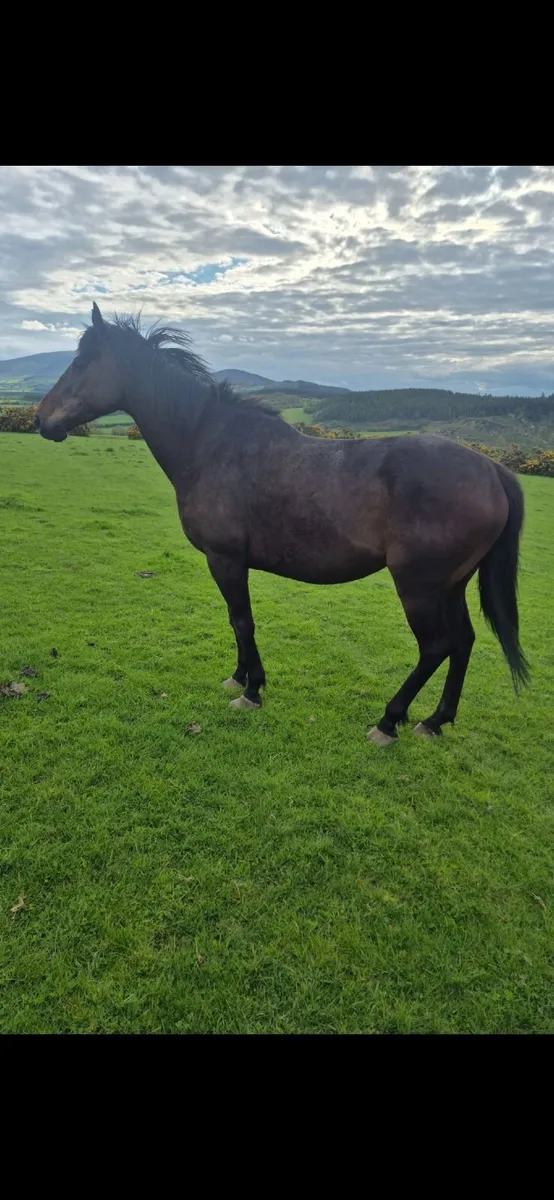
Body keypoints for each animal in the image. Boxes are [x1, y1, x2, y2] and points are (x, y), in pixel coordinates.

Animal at [34, 303, 529, 745]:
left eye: (81, 362)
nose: (40, 419)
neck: (210, 444)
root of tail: (491, 470)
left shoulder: (226, 559)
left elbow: (242, 621)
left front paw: (251, 690)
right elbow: (236, 620)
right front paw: (238, 678)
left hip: (419, 586)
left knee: (436, 647)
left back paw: (390, 721)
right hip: (452, 585)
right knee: (463, 642)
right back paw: (435, 720)